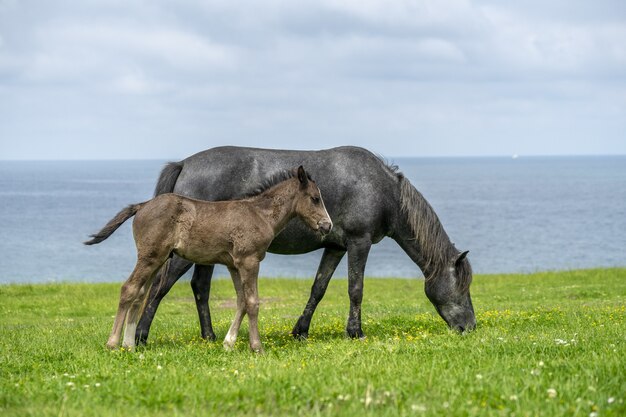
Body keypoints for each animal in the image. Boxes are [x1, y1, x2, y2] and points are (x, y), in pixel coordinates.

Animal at [86, 166, 336, 352]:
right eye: (315, 198)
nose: (327, 225)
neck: (260, 214)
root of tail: (143, 205)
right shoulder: (249, 260)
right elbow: (252, 302)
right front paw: (257, 347)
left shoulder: (234, 265)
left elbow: (241, 301)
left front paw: (228, 343)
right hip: (150, 257)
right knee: (128, 289)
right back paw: (112, 343)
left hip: (157, 260)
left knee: (139, 295)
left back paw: (129, 345)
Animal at [133, 145, 472, 342]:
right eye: (463, 286)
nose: (469, 326)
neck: (383, 189)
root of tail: (184, 164)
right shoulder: (359, 242)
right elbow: (356, 288)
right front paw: (356, 332)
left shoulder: (336, 247)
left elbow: (318, 288)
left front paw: (300, 331)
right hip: (182, 254)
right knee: (159, 286)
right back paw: (140, 336)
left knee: (199, 288)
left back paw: (210, 336)